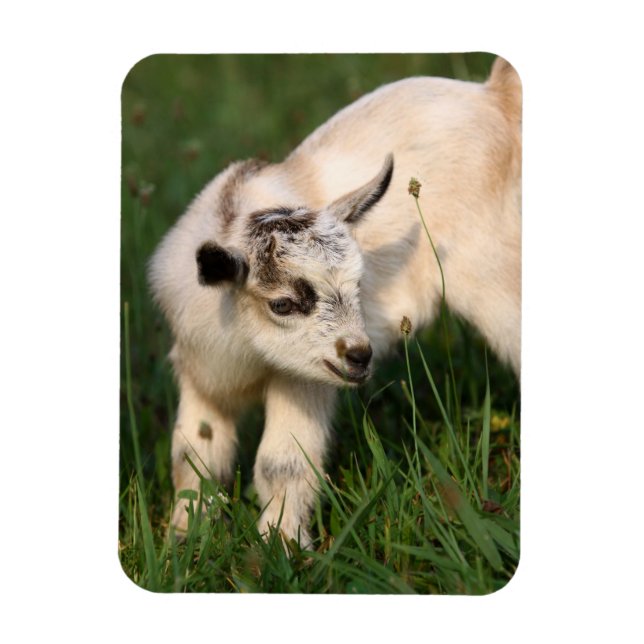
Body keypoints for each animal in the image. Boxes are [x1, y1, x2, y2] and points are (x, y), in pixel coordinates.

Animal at [148, 56, 521, 547]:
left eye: (358, 286)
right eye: (282, 304)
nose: (360, 356)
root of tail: (496, 96)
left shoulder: (303, 379)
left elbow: (282, 463)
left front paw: (283, 546)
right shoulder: (201, 374)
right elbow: (193, 459)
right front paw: (183, 542)